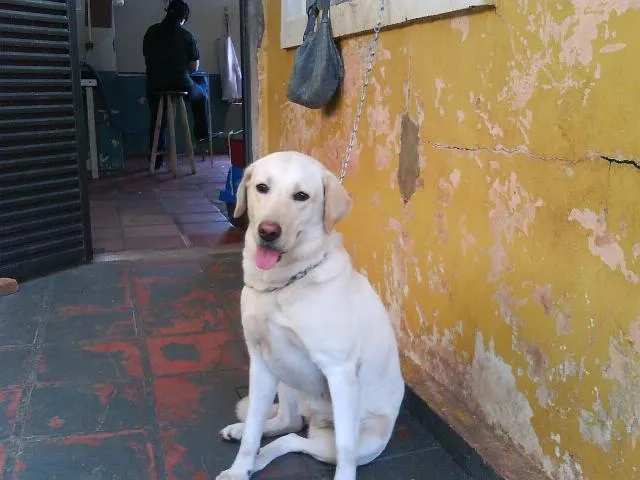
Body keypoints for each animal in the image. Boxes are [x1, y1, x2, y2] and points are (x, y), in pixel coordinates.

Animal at [218, 152, 402, 480]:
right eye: (262, 187)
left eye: (301, 196)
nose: (267, 231)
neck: (282, 285)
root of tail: (313, 416)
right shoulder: (261, 362)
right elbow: (253, 431)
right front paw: (239, 469)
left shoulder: (340, 372)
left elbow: (345, 450)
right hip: (283, 375)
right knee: (286, 423)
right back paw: (244, 436)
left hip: (359, 439)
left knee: (296, 438)